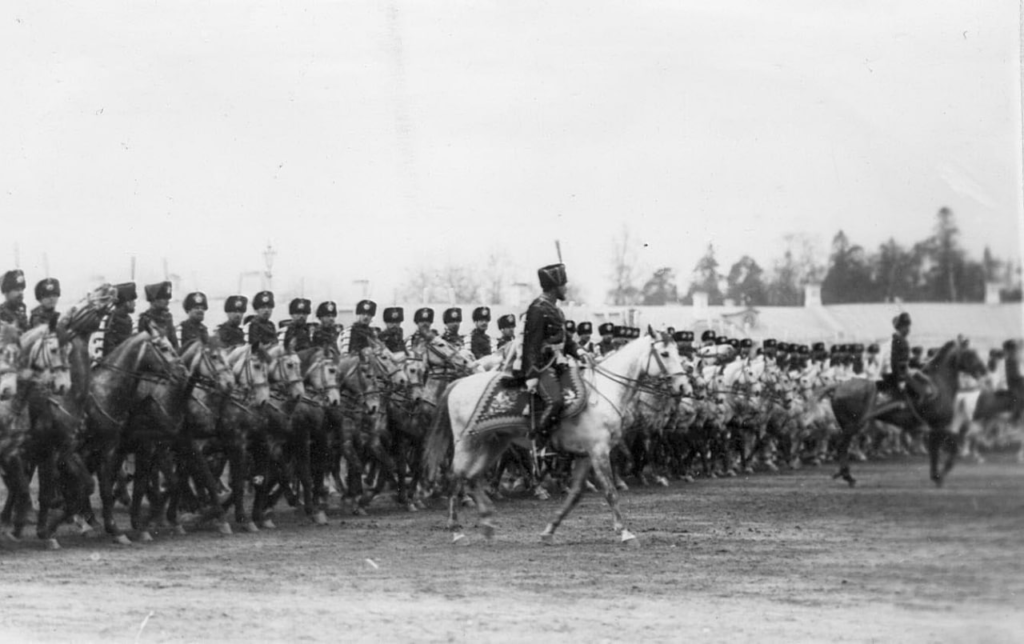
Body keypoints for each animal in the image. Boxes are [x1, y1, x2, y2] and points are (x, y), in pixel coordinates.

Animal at [423, 329, 688, 544]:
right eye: (665, 353)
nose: (684, 387)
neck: (603, 392)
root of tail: (458, 383)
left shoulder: (585, 455)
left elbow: (575, 495)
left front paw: (549, 531)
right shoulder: (599, 451)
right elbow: (610, 491)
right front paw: (625, 533)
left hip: (493, 443)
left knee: (471, 478)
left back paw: (487, 523)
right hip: (468, 442)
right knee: (455, 476)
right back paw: (457, 530)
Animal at [823, 339, 983, 485]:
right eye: (970, 353)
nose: (983, 369)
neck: (939, 384)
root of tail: (838, 387)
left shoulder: (938, 427)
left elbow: (939, 450)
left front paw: (936, 475)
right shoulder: (938, 426)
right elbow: (945, 450)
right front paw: (938, 477)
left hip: (849, 425)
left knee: (843, 445)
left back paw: (844, 474)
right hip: (854, 425)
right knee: (842, 445)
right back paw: (847, 476)